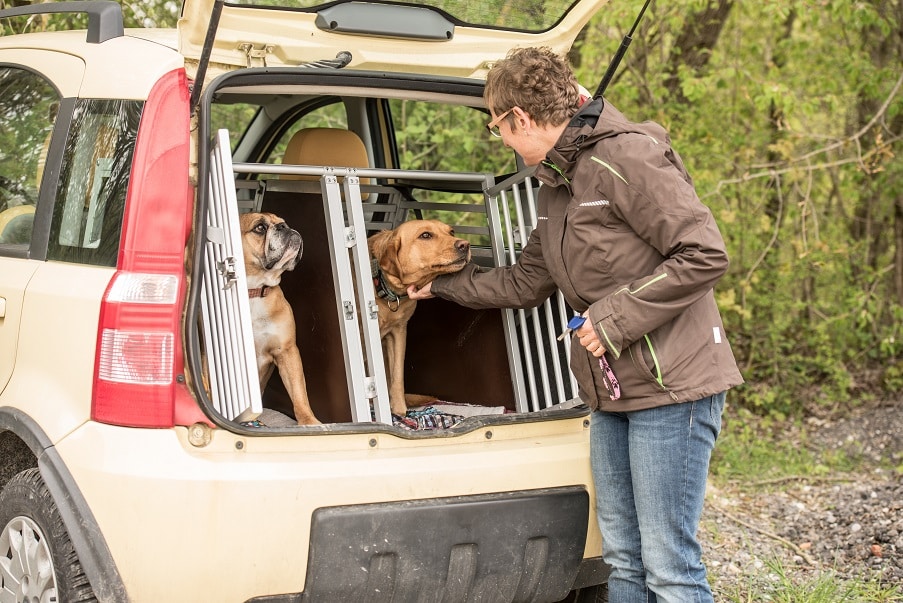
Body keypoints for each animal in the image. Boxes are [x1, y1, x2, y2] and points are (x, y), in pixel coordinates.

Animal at [240, 212, 322, 424]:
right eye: (260, 228)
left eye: (282, 221)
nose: (285, 227)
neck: (253, 292)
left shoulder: (287, 351)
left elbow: (299, 393)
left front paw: (308, 421)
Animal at [368, 219, 474, 418]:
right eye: (425, 235)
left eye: (451, 231)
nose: (465, 245)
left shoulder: (398, 332)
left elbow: (397, 376)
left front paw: (399, 411)